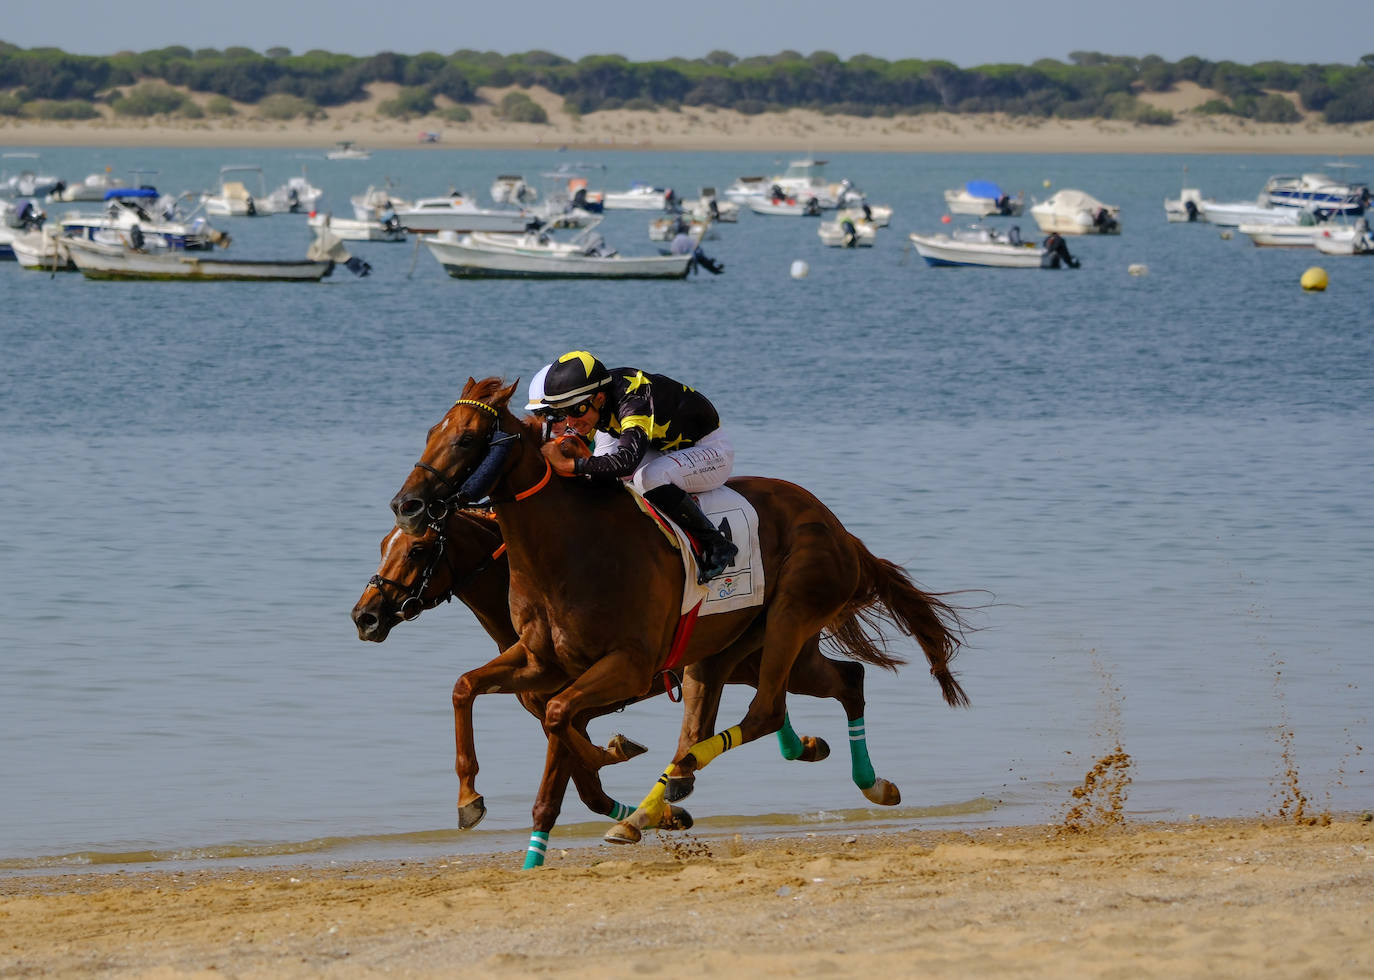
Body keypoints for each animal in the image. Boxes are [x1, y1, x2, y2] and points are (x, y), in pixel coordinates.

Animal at [352, 507, 914, 865]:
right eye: (381, 546)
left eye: (418, 549)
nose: (365, 616)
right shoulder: (546, 699)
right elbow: (474, 693)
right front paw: (663, 812)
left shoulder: (580, 701)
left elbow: (573, 779)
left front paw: (628, 770)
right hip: (742, 663)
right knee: (816, 691)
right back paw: (811, 751)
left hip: (776, 656)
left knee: (842, 682)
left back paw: (868, 780)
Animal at [390, 377, 969, 846]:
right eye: (430, 432)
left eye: (466, 439)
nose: (406, 505)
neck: (569, 548)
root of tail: (841, 531)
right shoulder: (539, 662)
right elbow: (468, 688)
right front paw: (470, 799)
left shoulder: (625, 667)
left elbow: (562, 723)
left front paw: (615, 752)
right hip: (729, 652)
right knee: (832, 684)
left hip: (790, 616)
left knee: (766, 710)